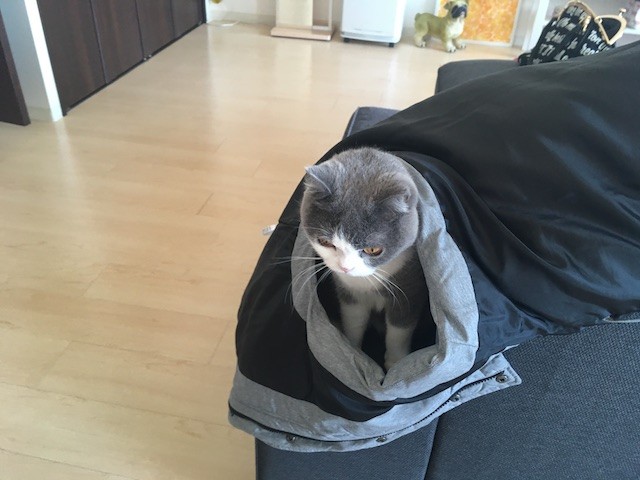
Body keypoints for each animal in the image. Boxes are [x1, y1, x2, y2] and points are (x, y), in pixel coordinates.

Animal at [300, 147, 428, 370]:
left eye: (373, 249)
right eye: (325, 242)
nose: (345, 267)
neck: (366, 281)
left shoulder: (410, 286)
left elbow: (399, 330)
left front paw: (395, 362)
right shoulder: (349, 293)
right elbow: (354, 321)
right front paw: (353, 352)